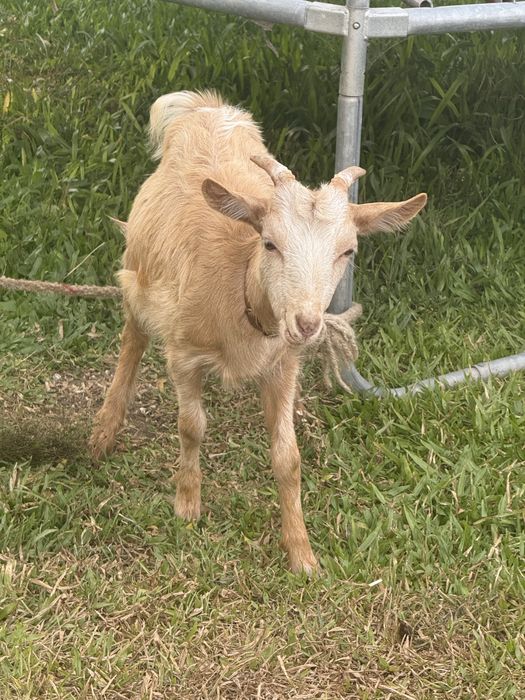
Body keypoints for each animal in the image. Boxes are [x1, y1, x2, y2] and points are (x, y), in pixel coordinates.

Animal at [90, 90, 427, 574]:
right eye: (270, 243)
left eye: (348, 251)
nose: (306, 324)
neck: (241, 293)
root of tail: (207, 108)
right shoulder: (183, 355)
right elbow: (191, 426)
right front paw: (187, 505)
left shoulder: (282, 365)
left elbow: (288, 458)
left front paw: (301, 552)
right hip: (138, 271)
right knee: (132, 340)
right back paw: (105, 428)